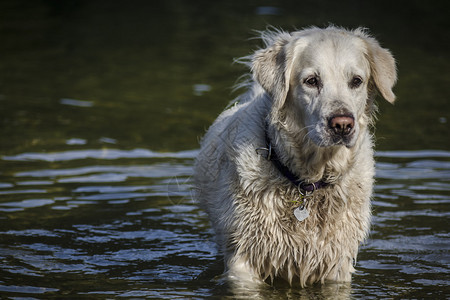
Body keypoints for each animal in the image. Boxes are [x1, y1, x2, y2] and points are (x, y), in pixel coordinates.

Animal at [194, 25, 398, 286]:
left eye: (356, 81)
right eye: (311, 81)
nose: (342, 124)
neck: (308, 181)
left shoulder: (337, 265)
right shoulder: (243, 261)